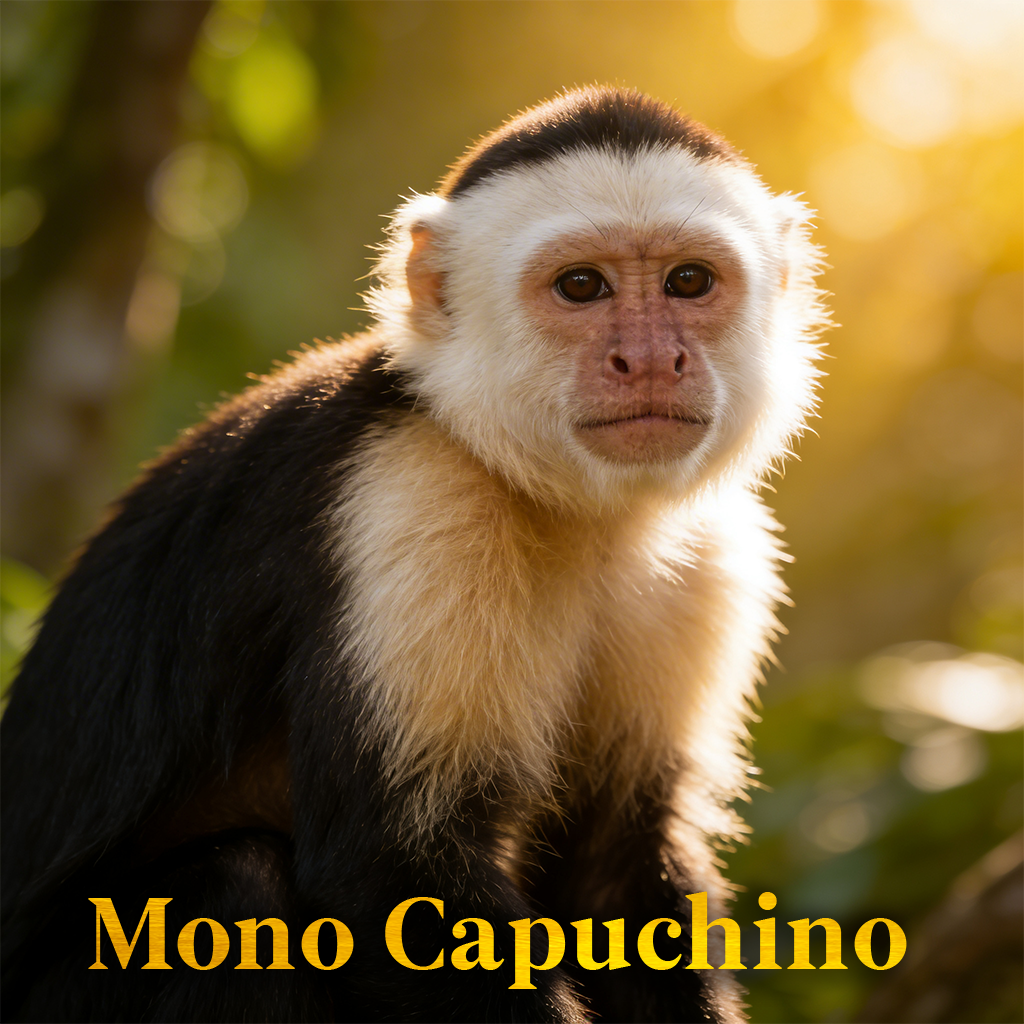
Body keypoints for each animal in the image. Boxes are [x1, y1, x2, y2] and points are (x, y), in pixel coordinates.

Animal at [0, 87, 826, 1023]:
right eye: (582, 286)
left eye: (690, 281)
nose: (650, 359)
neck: (567, 503)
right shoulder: (410, 501)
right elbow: (394, 874)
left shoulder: (711, 560)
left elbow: (616, 868)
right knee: (236, 886)